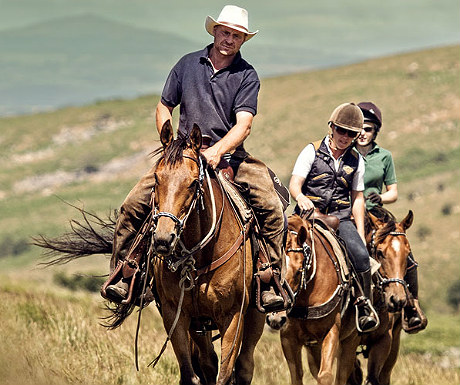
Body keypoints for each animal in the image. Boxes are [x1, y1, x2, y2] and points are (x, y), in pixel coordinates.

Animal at [151, 121, 266, 384]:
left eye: (193, 182)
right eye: (156, 178)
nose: (163, 238)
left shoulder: (232, 316)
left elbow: (225, 376)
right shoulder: (175, 314)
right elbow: (191, 374)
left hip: (255, 315)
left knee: (244, 366)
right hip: (199, 325)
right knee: (207, 362)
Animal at [266, 213, 348, 384]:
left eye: (299, 271)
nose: (276, 318)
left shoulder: (332, 331)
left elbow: (325, 375)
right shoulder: (288, 337)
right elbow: (297, 375)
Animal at [336, 208, 416, 382]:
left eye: (407, 254)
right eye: (379, 252)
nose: (397, 299)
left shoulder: (384, 341)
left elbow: (373, 378)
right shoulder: (348, 342)